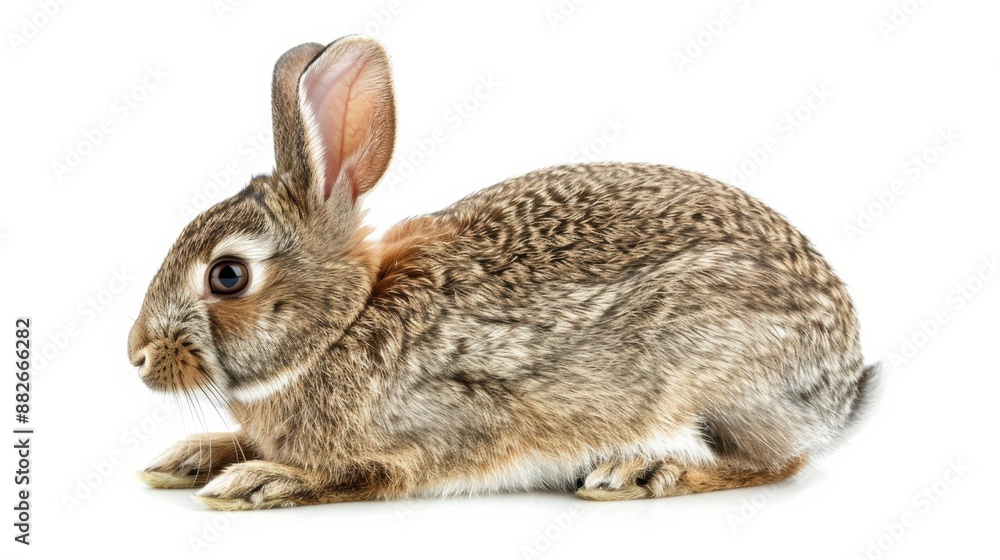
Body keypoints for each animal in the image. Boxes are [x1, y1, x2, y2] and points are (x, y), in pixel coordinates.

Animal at [127, 36, 877, 510]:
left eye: (227, 277)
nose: (137, 354)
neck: (340, 327)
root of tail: (843, 377)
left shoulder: (427, 438)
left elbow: (367, 474)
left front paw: (258, 481)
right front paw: (188, 458)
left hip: (715, 369)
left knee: (774, 462)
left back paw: (642, 471)